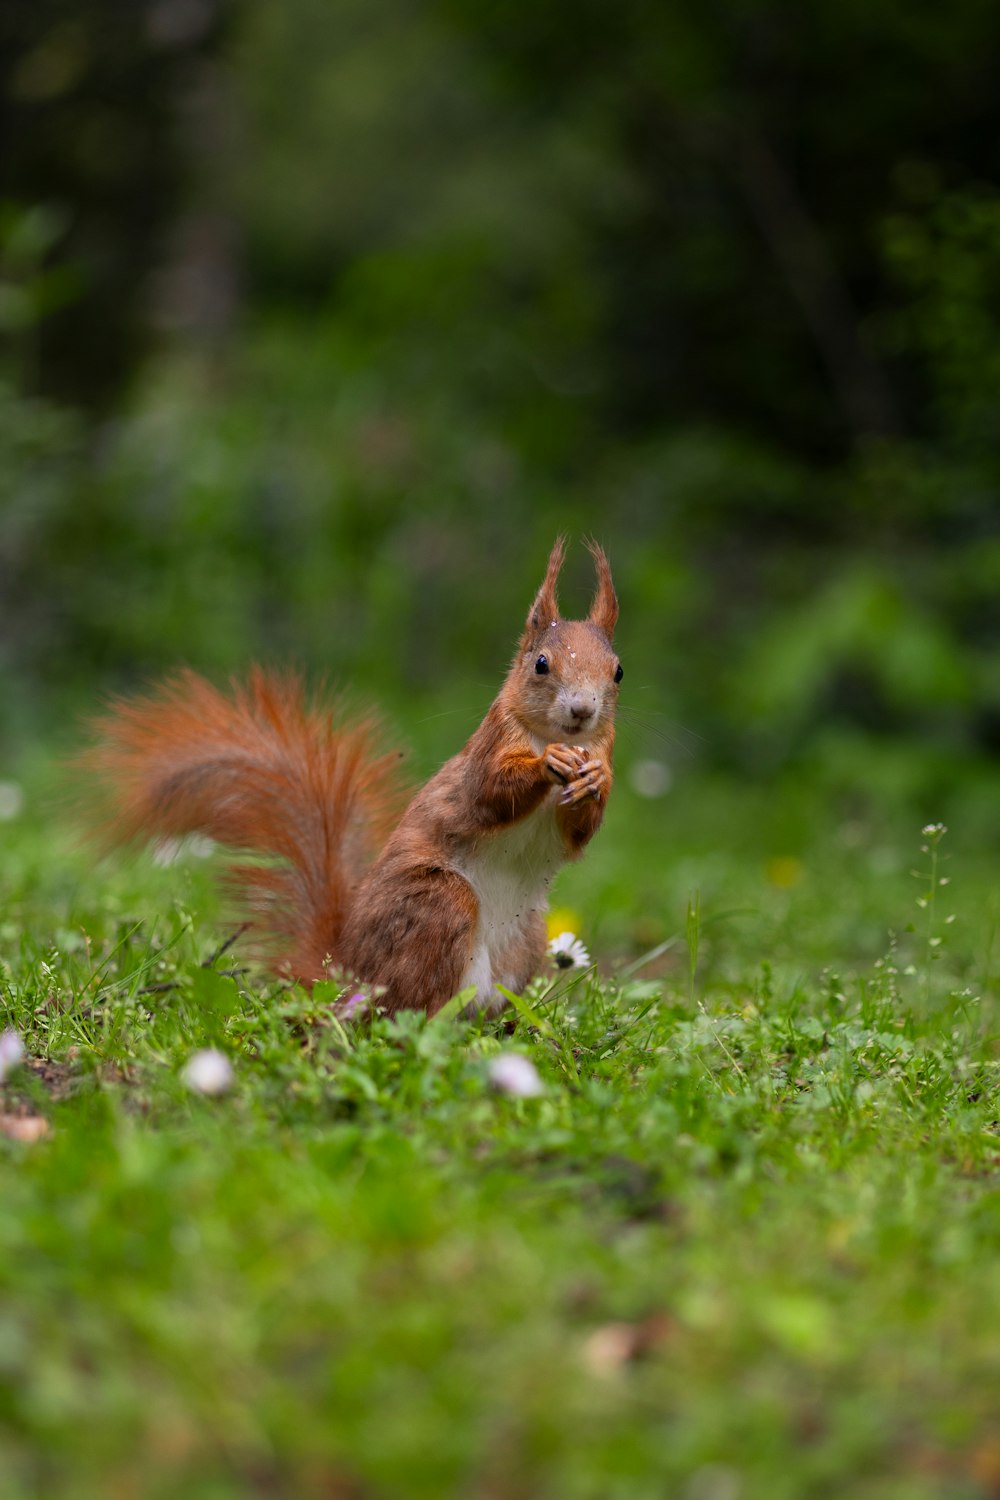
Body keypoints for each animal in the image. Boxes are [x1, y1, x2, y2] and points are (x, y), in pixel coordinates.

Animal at [86, 540, 620, 1020]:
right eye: (541, 664)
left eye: (617, 672)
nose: (581, 710)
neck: (551, 733)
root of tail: (346, 966)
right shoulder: (487, 751)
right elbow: (490, 794)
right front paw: (547, 762)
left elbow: (578, 834)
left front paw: (596, 779)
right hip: (439, 906)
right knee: (409, 1007)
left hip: (527, 938)